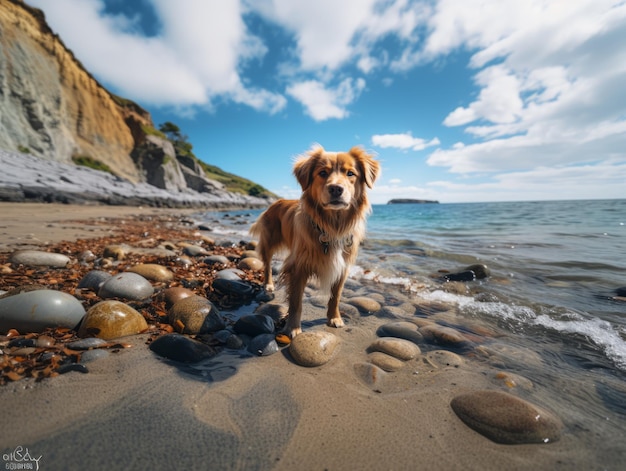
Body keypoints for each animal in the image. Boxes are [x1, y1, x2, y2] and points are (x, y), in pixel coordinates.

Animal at [250, 146, 380, 338]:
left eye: (350, 173)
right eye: (322, 172)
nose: (336, 189)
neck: (331, 227)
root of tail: (277, 201)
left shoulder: (343, 267)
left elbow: (336, 296)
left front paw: (334, 318)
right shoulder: (298, 267)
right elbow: (296, 301)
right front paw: (293, 327)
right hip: (269, 241)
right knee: (267, 265)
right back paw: (268, 284)